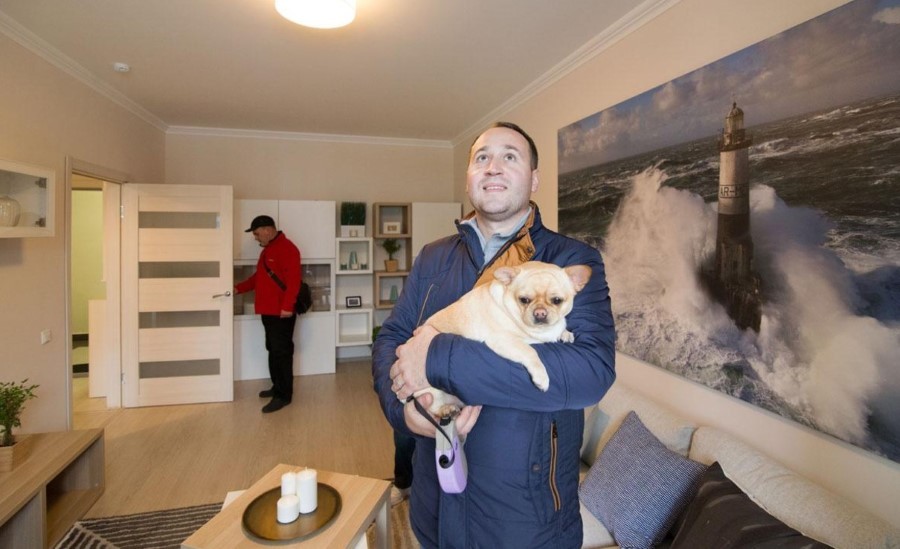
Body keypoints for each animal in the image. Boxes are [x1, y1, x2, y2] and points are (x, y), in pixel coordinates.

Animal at [412, 261, 592, 418]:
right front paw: (541, 376)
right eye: (524, 300)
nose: (540, 312)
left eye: (557, 301)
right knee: (431, 406)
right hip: (431, 391)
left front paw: (565, 333)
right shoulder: (503, 340)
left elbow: (560, 328)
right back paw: (446, 410)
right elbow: (530, 351)